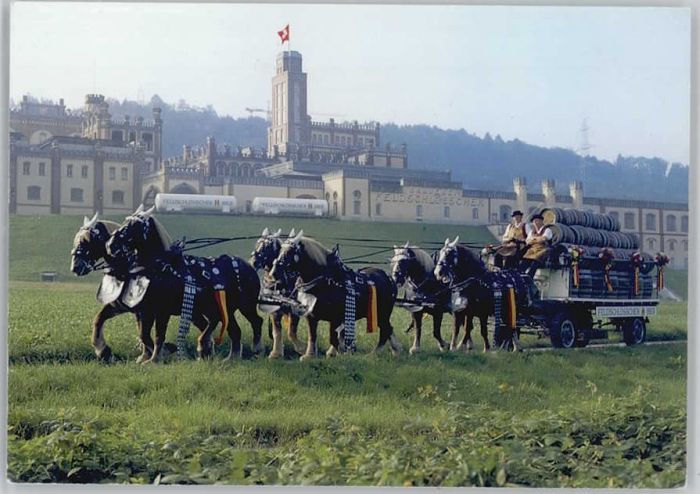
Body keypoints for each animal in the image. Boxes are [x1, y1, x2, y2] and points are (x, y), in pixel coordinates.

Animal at [105, 206, 264, 360]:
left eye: (134, 224)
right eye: (126, 220)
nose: (110, 245)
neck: (162, 267)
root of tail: (249, 266)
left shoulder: (162, 310)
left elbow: (158, 336)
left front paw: (155, 359)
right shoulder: (147, 311)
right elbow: (144, 335)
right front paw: (148, 358)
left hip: (246, 306)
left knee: (256, 321)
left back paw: (256, 349)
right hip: (227, 310)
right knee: (234, 331)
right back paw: (231, 358)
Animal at [252, 228, 306, 358]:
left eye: (266, 247)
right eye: (257, 243)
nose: (253, 262)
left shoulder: (293, 309)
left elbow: (292, 331)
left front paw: (302, 349)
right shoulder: (274, 311)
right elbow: (277, 331)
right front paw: (276, 352)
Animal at [266, 230, 400, 360]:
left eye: (290, 252)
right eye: (280, 250)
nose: (274, 274)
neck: (325, 281)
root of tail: (389, 279)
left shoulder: (335, 316)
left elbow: (333, 336)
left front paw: (335, 353)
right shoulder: (311, 315)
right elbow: (312, 335)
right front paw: (309, 355)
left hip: (382, 314)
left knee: (385, 331)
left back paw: (374, 354)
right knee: (389, 329)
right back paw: (395, 350)